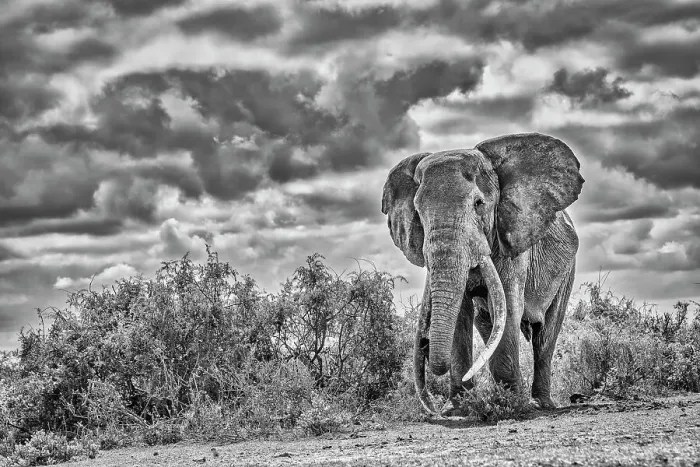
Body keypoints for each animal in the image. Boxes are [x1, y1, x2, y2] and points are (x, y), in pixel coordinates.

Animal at [381, 133, 584, 415]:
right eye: (418, 212)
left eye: (479, 204)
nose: (434, 409)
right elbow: (461, 313)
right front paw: (457, 409)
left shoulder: (512, 240)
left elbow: (509, 304)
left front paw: (513, 405)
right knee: (489, 325)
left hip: (567, 270)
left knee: (545, 334)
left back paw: (540, 403)